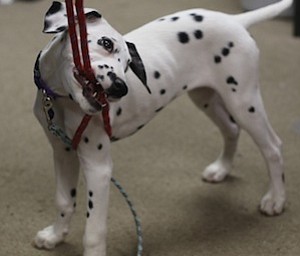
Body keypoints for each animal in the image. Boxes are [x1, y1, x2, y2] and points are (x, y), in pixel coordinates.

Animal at [33, 0, 292, 256]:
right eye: (106, 43)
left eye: (128, 65)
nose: (120, 88)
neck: (62, 99)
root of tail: (234, 20)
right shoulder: (63, 152)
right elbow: (64, 201)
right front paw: (55, 236)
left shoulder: (98, 168)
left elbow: (94, 232)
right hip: (206, 98)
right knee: (231, 129)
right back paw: (222, 169)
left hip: (243, 102)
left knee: (273, 147)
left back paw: (275, 199)